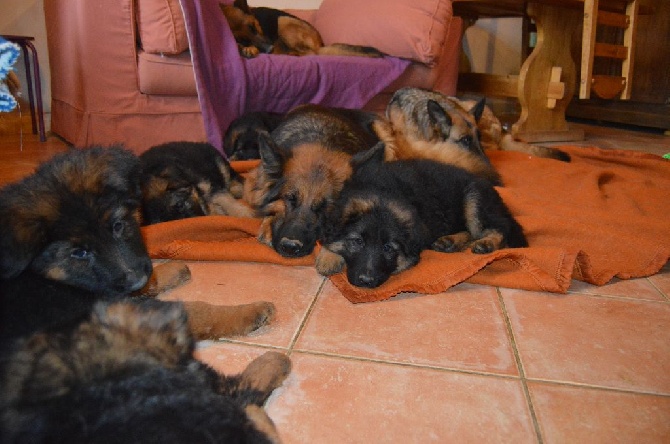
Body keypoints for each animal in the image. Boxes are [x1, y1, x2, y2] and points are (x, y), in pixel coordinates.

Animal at [224, 0, 386, 58]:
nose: (270, 49)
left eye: (254, 28)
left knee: (311, 53)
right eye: (242, 39)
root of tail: (321, 44)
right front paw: (246, 48)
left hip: (283, 20)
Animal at [316, 142, 532, 288]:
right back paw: (449, 241)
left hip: (474, 198)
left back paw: (486, 242)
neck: (382, 191)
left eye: (388, 248)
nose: (366, 281)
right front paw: (329, 255)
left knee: (498, 228)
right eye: (357, 242)